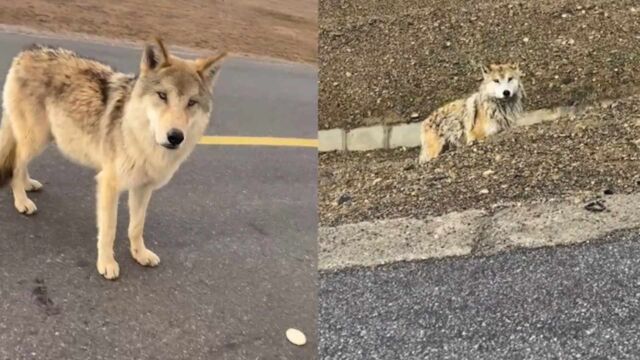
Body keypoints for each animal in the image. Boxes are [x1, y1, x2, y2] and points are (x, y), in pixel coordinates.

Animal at [0, 37, 228, 278]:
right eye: (162, 96)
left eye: (191, 102)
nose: (175, 137)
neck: (140, 138)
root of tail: (27, 52)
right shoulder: (109, 184)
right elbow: (109, 230)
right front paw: (107, 263)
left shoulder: (143, 188)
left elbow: (136, 227)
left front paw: (140, 255)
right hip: (36, 139)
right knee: (16, 164)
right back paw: (22, 201)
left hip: (41, 139)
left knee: (20, 162)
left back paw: (28, 185)